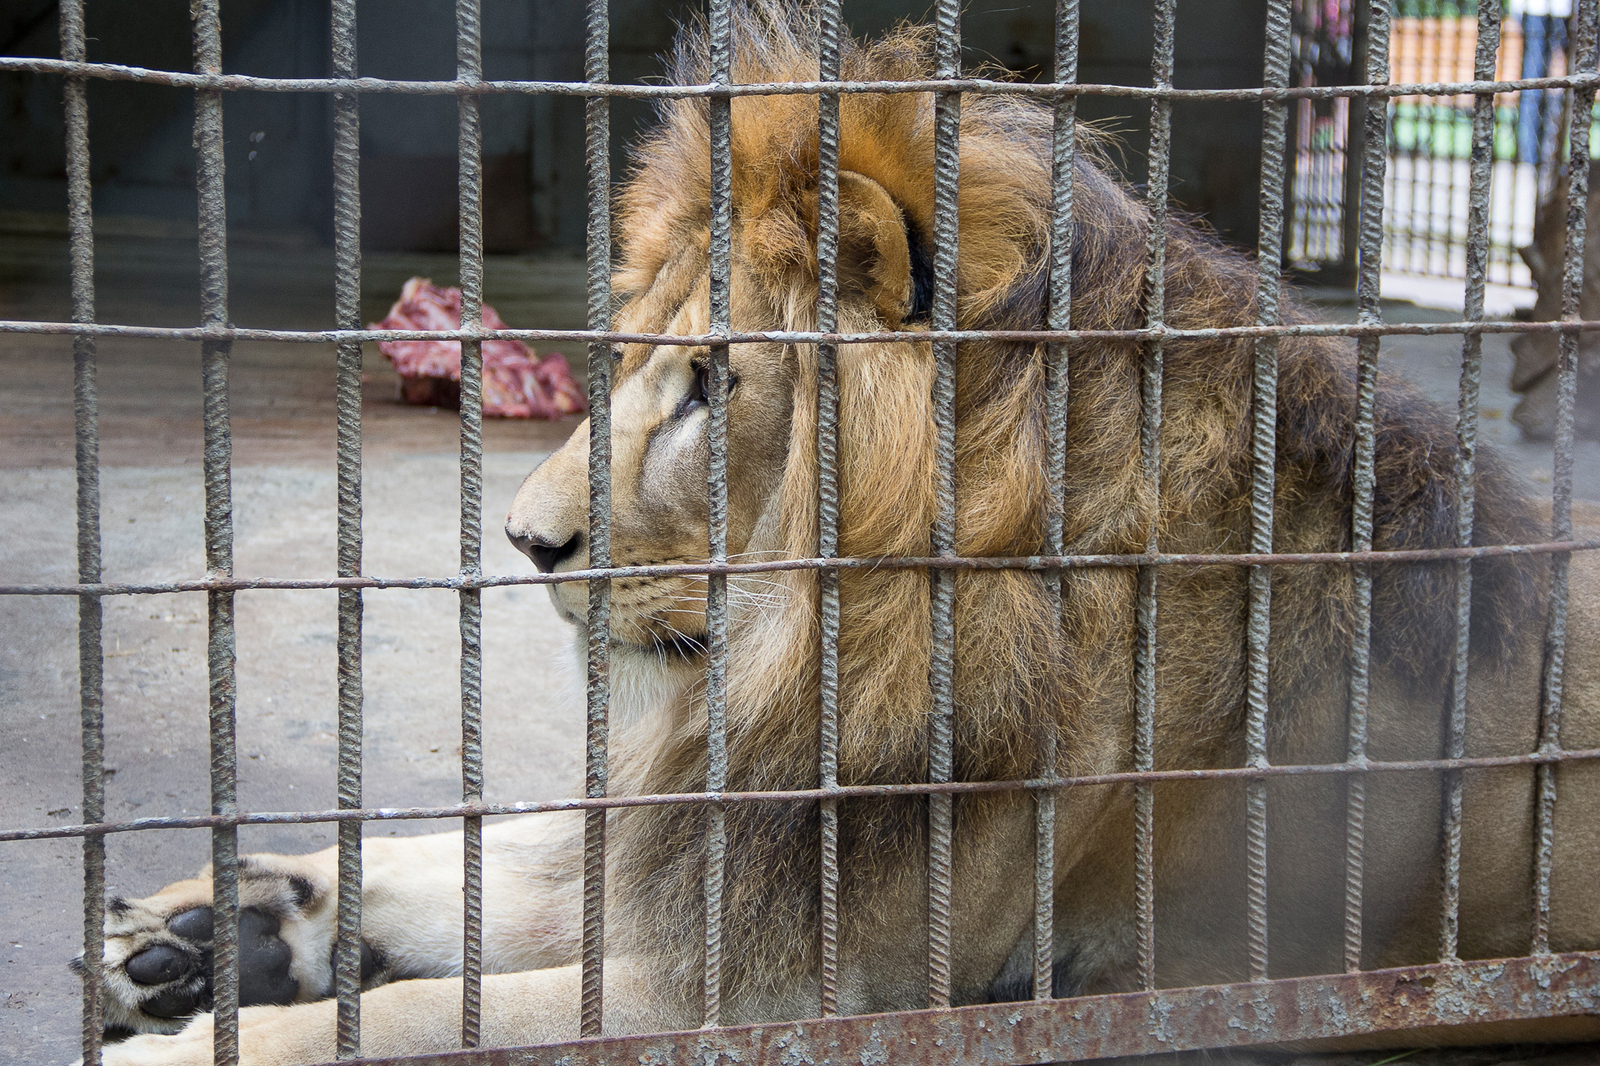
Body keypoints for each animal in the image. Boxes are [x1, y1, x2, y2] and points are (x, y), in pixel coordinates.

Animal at [84, 4, 1600, 1056]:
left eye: (711, 386)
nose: (523, 543)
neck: (818, 633)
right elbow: (489, 860)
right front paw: (217, 924)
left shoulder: (825, 982)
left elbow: (437, 1017)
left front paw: (208, 1031)